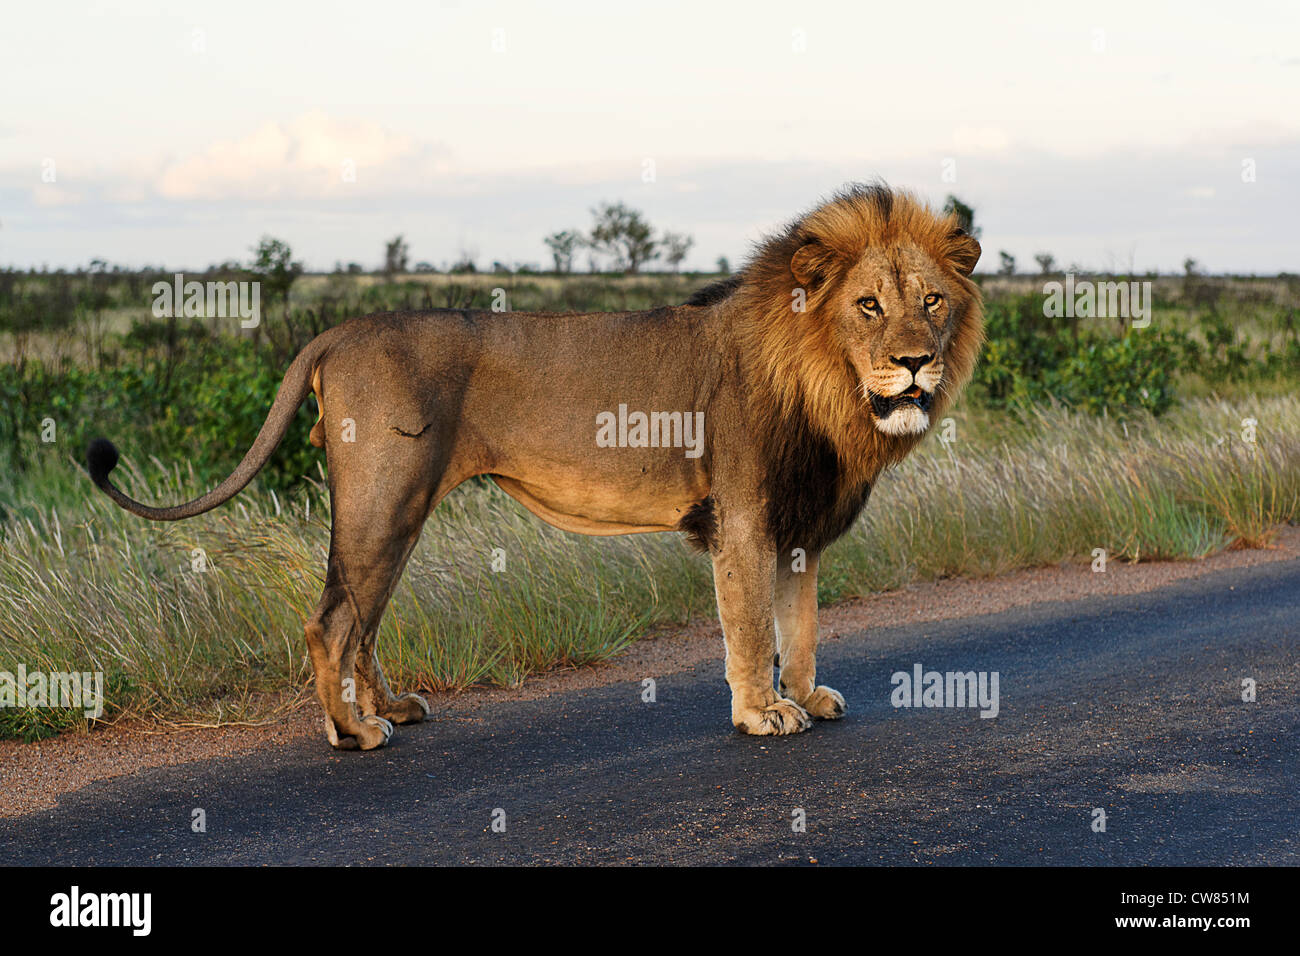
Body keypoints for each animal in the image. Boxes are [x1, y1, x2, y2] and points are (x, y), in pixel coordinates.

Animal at [86, 183, 977, 749]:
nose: (915, 362)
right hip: (386, 497)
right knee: (331, 620)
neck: (830, 390)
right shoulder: (744, 518)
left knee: (360, 617)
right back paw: (353, 732)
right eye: (868, 305)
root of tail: (339, 330)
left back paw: (392, 709)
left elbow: (804, 624)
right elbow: (754, 626)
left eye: (932, 301)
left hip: (395, 509)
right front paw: (763, 713)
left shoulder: (798, 525)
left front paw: (809, 696)